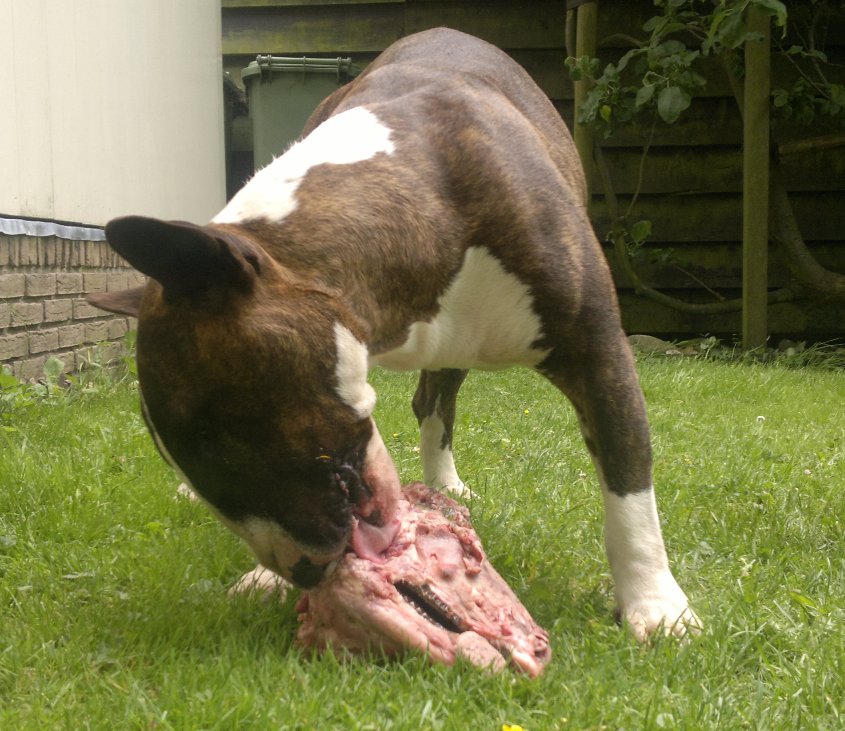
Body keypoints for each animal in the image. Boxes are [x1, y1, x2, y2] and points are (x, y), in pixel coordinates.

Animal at [89, 28, 698, 640]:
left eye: (214, 431)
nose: (303, 572)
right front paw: (264, 579)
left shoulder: (599, 354)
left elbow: (628, 479)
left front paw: (656, 603)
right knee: (430, 402)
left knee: (438, 404)